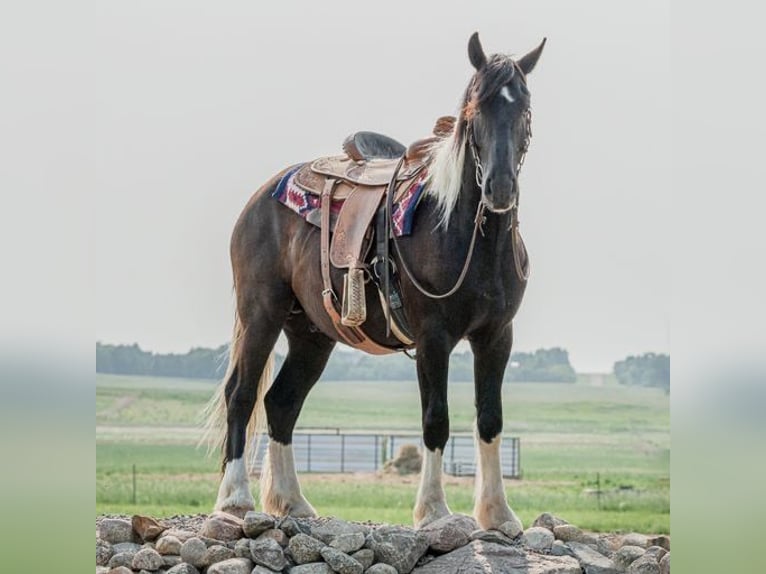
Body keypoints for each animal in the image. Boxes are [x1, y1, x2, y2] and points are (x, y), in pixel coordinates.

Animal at [204, 33, 548, 532]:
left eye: (524, 108)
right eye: (474, 111)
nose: (500, 188)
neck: (464, 234)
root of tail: (260, 197)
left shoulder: (497, 335)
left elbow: (490, 419)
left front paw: (498, 514)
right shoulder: (433, 337)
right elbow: (436, 419)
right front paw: (434, 511)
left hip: (310, 334)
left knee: (281, 402)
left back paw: (293, 502)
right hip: (261, 314)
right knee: (241, 394)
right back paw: (235, 500)